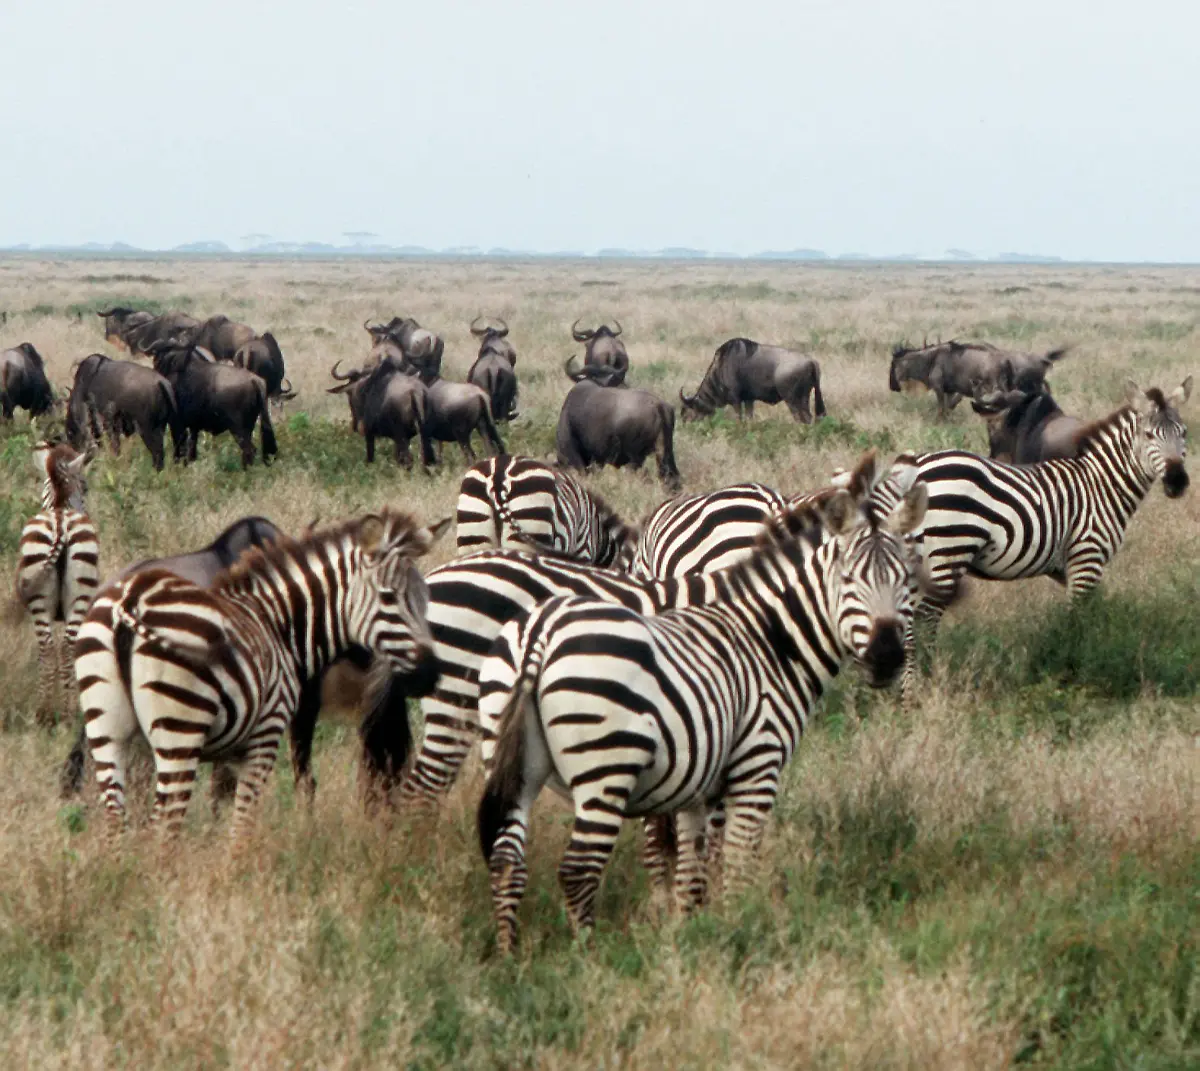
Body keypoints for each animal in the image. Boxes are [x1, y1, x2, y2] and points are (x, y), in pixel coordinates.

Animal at [15, 442, 100, 726]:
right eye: (85, 486)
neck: (59, 505)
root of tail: (61, 524)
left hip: (40, 597)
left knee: (48, 647)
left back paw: (45, 711)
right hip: (79, 597)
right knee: (66, 647)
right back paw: (69, 711)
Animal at [74, 510, 447, 842]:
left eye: (427, 598)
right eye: (389, 597)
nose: (430, 675)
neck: (281, 622)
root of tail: (131, 597)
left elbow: (226, 800)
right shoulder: (275, 723)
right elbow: (262, 803)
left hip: (109, 729)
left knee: (116, 816)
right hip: (179, 735)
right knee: (164, 824)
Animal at [474, 459, 929, 952]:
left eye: (905, 579)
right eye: (848, 580)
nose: (887, 656)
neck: (769, 638)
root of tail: (539, 634)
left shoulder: (696, 781)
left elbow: (694, 869)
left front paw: (689, 931)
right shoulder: (756, 766)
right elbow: (736, 861)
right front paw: (739, 927)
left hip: (513, 764)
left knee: (506, 859)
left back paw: (509, 953)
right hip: (604, 770)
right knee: (578, 870)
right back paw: (588, 955)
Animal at [871, 377, 1192, 702]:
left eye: (1184, 433)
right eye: (1149, 435)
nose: (1177, 482)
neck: (1101, 484)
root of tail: (913, 471)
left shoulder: (1067, 568)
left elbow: (1088, 612)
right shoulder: (1087, 557)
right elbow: (1077, 618)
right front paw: (1075, 665)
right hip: (948, 553)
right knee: (923, 623)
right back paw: (919, 687)